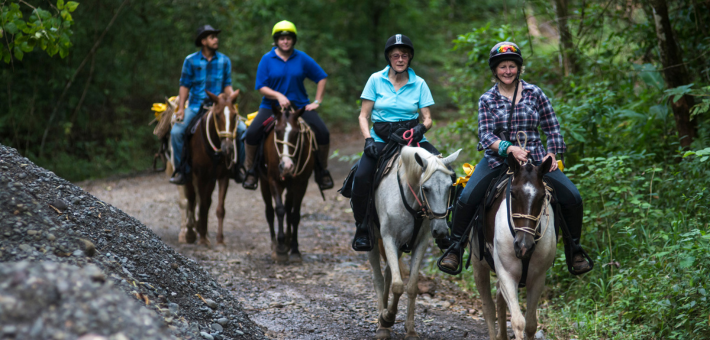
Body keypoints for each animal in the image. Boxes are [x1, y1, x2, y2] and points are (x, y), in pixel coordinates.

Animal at [178, 89, 242, 244]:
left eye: (234, 115)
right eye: (217, 115)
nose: (228, 147)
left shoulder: (223, 176)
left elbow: (219, 208)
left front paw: (219, 238)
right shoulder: (200, 176)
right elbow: (202, 205)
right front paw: (202, 238)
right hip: (189, 177)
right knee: (191, 199)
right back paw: (191, 232)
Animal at [260, 103, 318, 262]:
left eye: (297, 133)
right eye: (277, 131)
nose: (286, 166)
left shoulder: (301, 184)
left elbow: (294, 215)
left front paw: (294, 249)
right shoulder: (273, 180)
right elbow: (279, 210)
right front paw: (280, 249)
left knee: (288, 207)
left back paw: (287, 240)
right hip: (263, 182)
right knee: (269, 211)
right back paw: (275, 244)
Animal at [368, 147, 462, 340]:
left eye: (450, 187)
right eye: (425, 188)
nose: (441, 231)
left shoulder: (420, 243)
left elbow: (411, 287)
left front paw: (410, 330)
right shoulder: (388, 238)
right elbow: (398, 286)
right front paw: (387, 318)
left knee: (388, 273)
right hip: (372, 241)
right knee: (378, 278)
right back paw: (382, 325)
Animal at [472, 153, 560, 340]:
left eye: (542, 196)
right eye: (512, 193)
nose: (524, 246)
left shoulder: (538, 278)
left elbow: (531, 324)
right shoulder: (506, 273)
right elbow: (518, 322)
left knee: (499, 297)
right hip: (478, 265)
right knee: (488, 308)